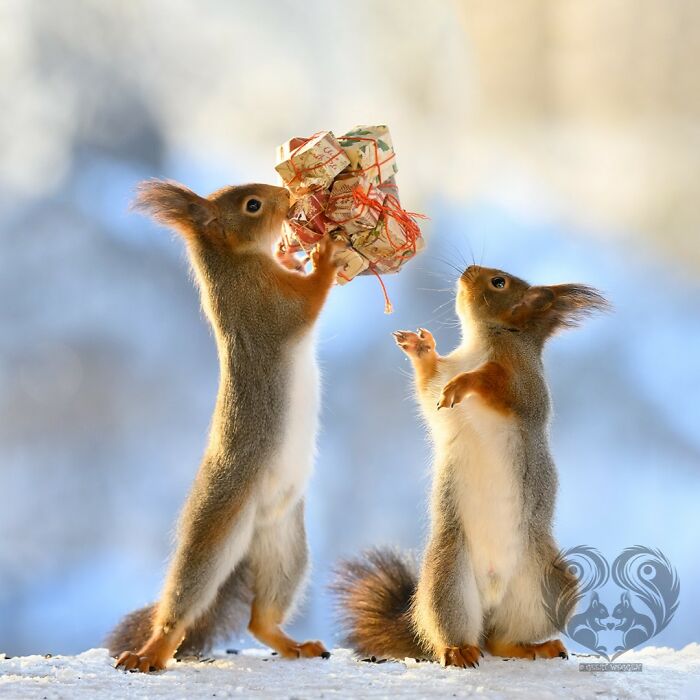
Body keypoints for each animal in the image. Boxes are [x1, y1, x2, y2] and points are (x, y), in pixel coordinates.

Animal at [107, 179, 341, 672]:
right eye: (252, 205)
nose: (287, 196)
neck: (237, 264)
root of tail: (249, 537)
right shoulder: (269, 307)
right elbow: (308, 303)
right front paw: (326, 255)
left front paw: (295, 254)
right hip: (216, 530)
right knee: (181, 605)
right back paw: (151, 652)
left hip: (285, 546)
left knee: (261, 619)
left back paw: (292, 644)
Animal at [333, 265, 608, 668]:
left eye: (499, 283)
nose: (467, 271)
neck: (480, 345)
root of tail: (492, 600)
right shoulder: (439, 394)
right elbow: (430, 390)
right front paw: (420, 348)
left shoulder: (525, 385)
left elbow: (495, 384)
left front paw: (468, 381)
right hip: (447, 580)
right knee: (470, 635)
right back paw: (459, 649)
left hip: (548, 589)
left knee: (501, 639)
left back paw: (533, 646)